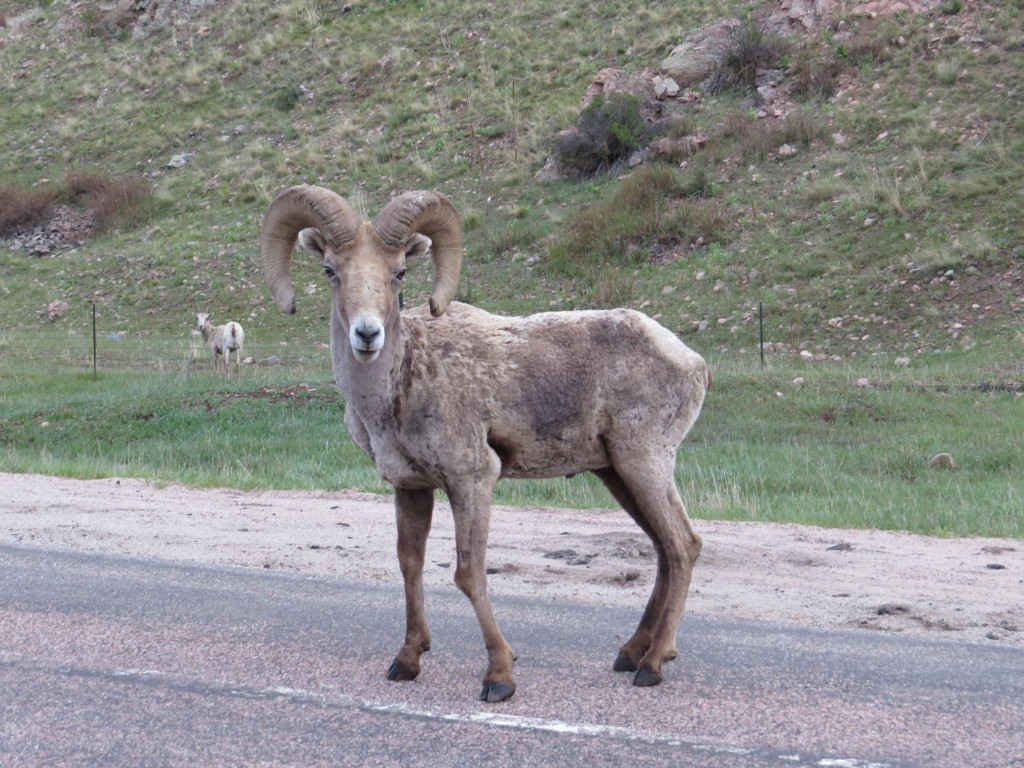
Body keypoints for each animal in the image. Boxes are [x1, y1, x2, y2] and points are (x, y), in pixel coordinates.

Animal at [260, 185, 708, 704]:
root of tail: (691, 360)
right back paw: (631, 654)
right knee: (663, 549)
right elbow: (410, 565)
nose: (367, 334)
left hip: (645, 462)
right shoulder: (411, 487)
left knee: (683, 546)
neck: (400, 386)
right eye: (331, 270)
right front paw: (406, 661)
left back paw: (653, 665)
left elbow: (469, 574)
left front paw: (499, 676)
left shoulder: (473, 480)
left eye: (399, 272)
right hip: (616, 473)